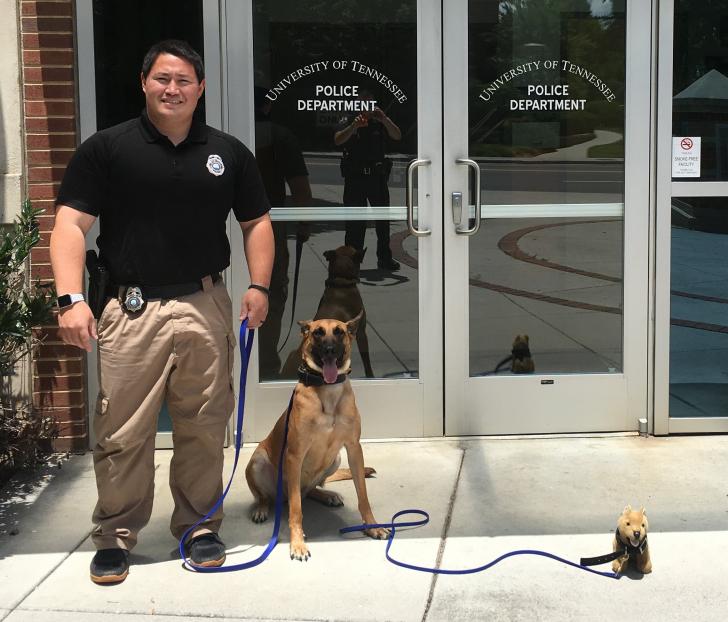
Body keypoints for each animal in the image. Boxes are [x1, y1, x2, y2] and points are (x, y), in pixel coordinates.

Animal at [245, 314, 390, 564]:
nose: (330, 350)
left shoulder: (354, 449)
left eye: (339, 332)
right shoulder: (294, 455)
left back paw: (327, 495)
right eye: (317, 333)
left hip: (335, 460)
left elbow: (363, 495)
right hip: (258, 461)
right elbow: (296, 510)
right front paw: (297, 543)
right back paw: (262, 508)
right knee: (271, 497)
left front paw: (372, 526)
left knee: (308, 491)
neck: (327, 391)